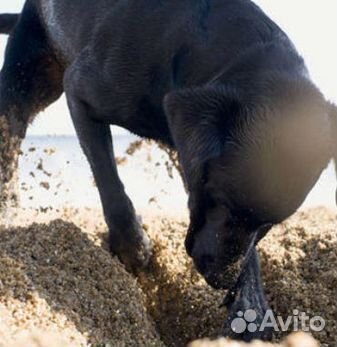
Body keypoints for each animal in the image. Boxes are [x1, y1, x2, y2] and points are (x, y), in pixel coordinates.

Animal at [0, 0, 334, 342]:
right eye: (221, 200)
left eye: (270, 223)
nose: (221, 279)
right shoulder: (80, 92)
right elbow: (110, 183)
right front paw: (132, 246)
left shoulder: (186, 147)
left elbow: (249, 252)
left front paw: (248, 307)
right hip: (26, 78)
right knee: (10, 136)